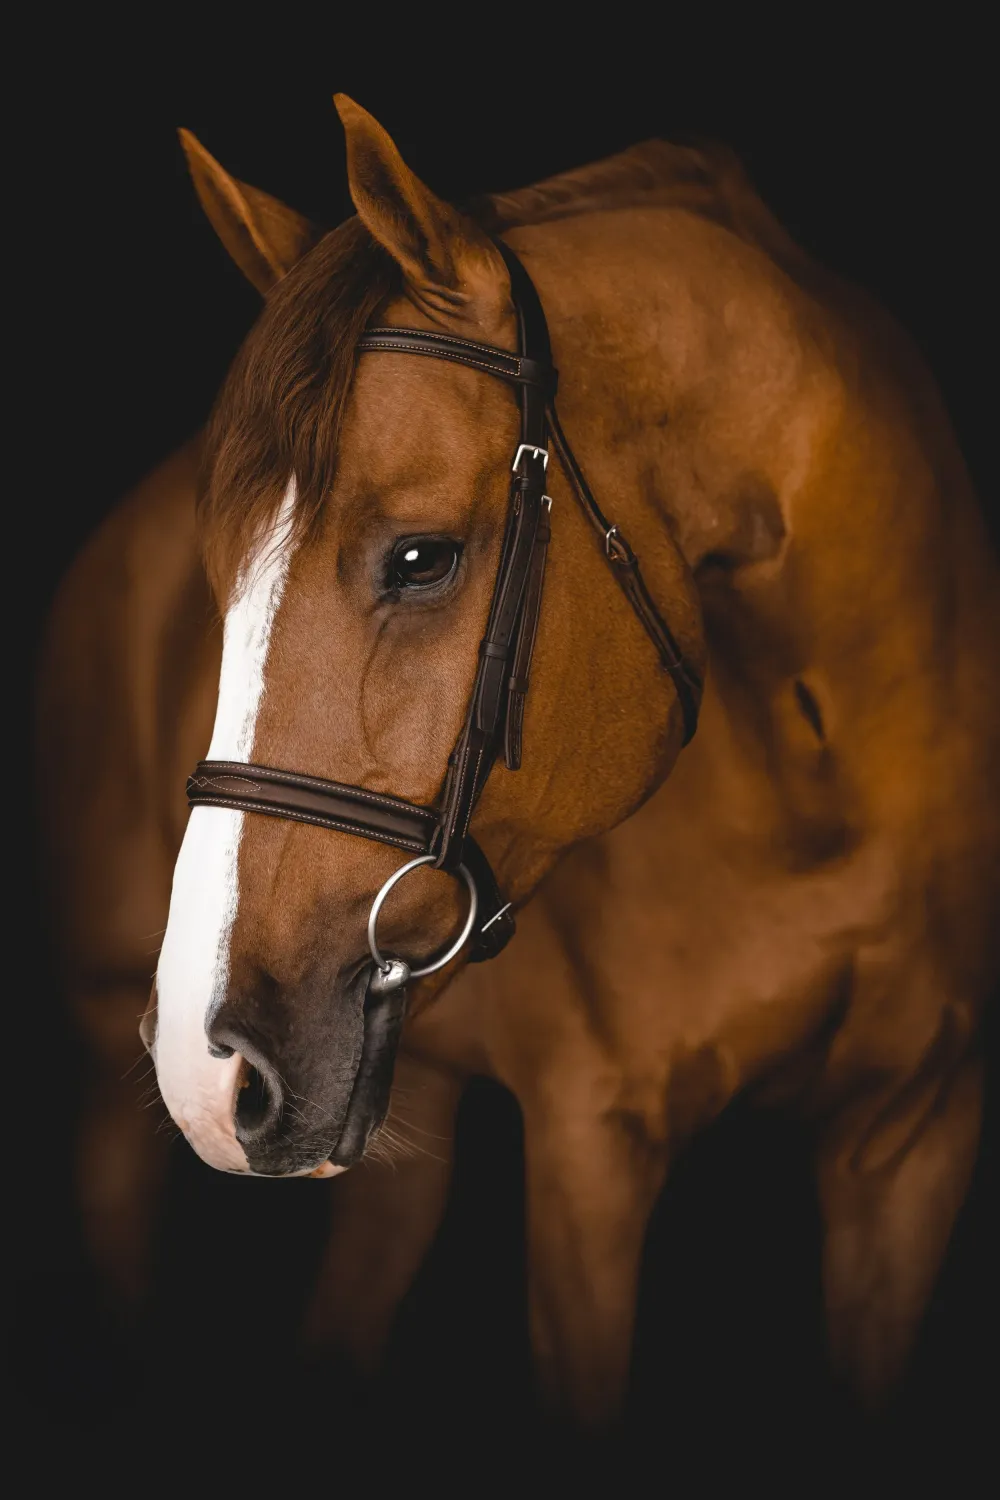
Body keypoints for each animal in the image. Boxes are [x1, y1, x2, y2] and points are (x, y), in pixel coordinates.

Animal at [36, 94, 1000, 1428]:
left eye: (421, 557)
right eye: (218, 571)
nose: (202, 1059)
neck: (828, 782)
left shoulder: (916, 1131)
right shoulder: (592, 1148)